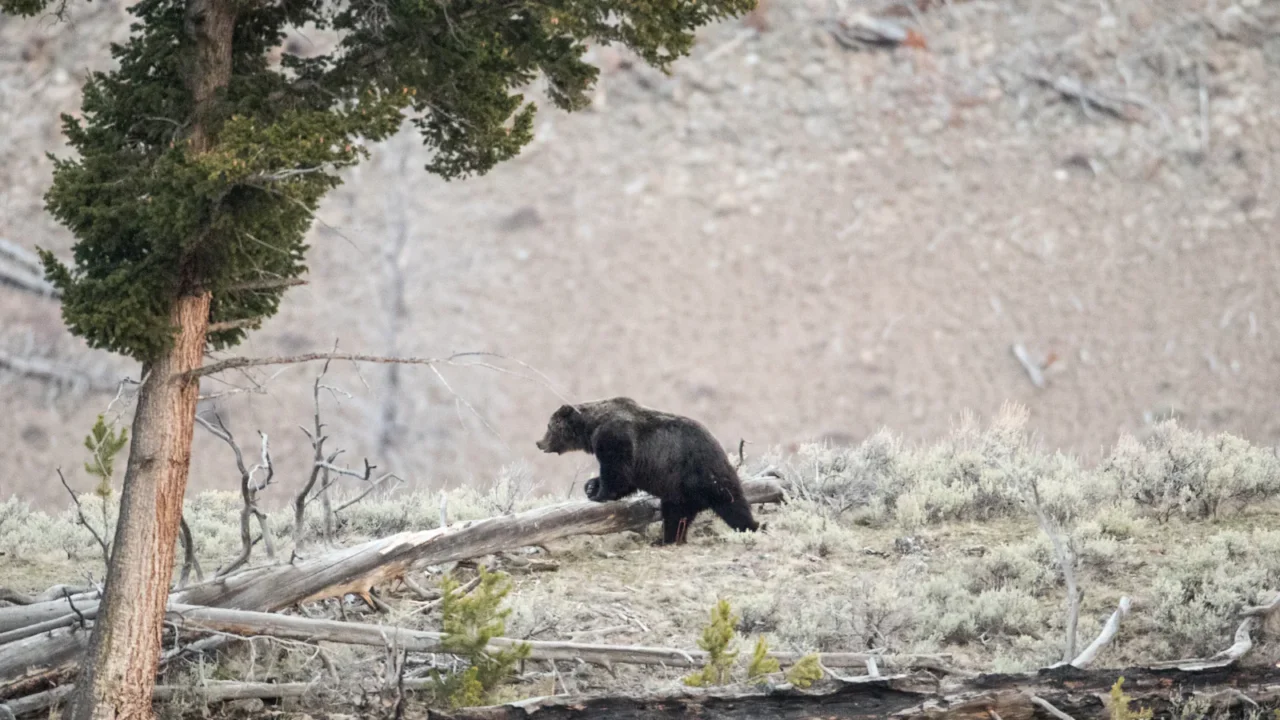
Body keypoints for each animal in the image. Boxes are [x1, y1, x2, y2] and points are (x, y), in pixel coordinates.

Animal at [535, 397, 760, 545]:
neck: (591, 429)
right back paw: (670, 538)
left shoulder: (615, 440)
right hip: (682, 489)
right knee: (679, 514)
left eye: (549, 426)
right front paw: (591, 486)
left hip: (699, 473)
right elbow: (625, 481)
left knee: (730, 505)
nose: (539, 443)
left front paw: (599, 494)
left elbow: (618, 474)